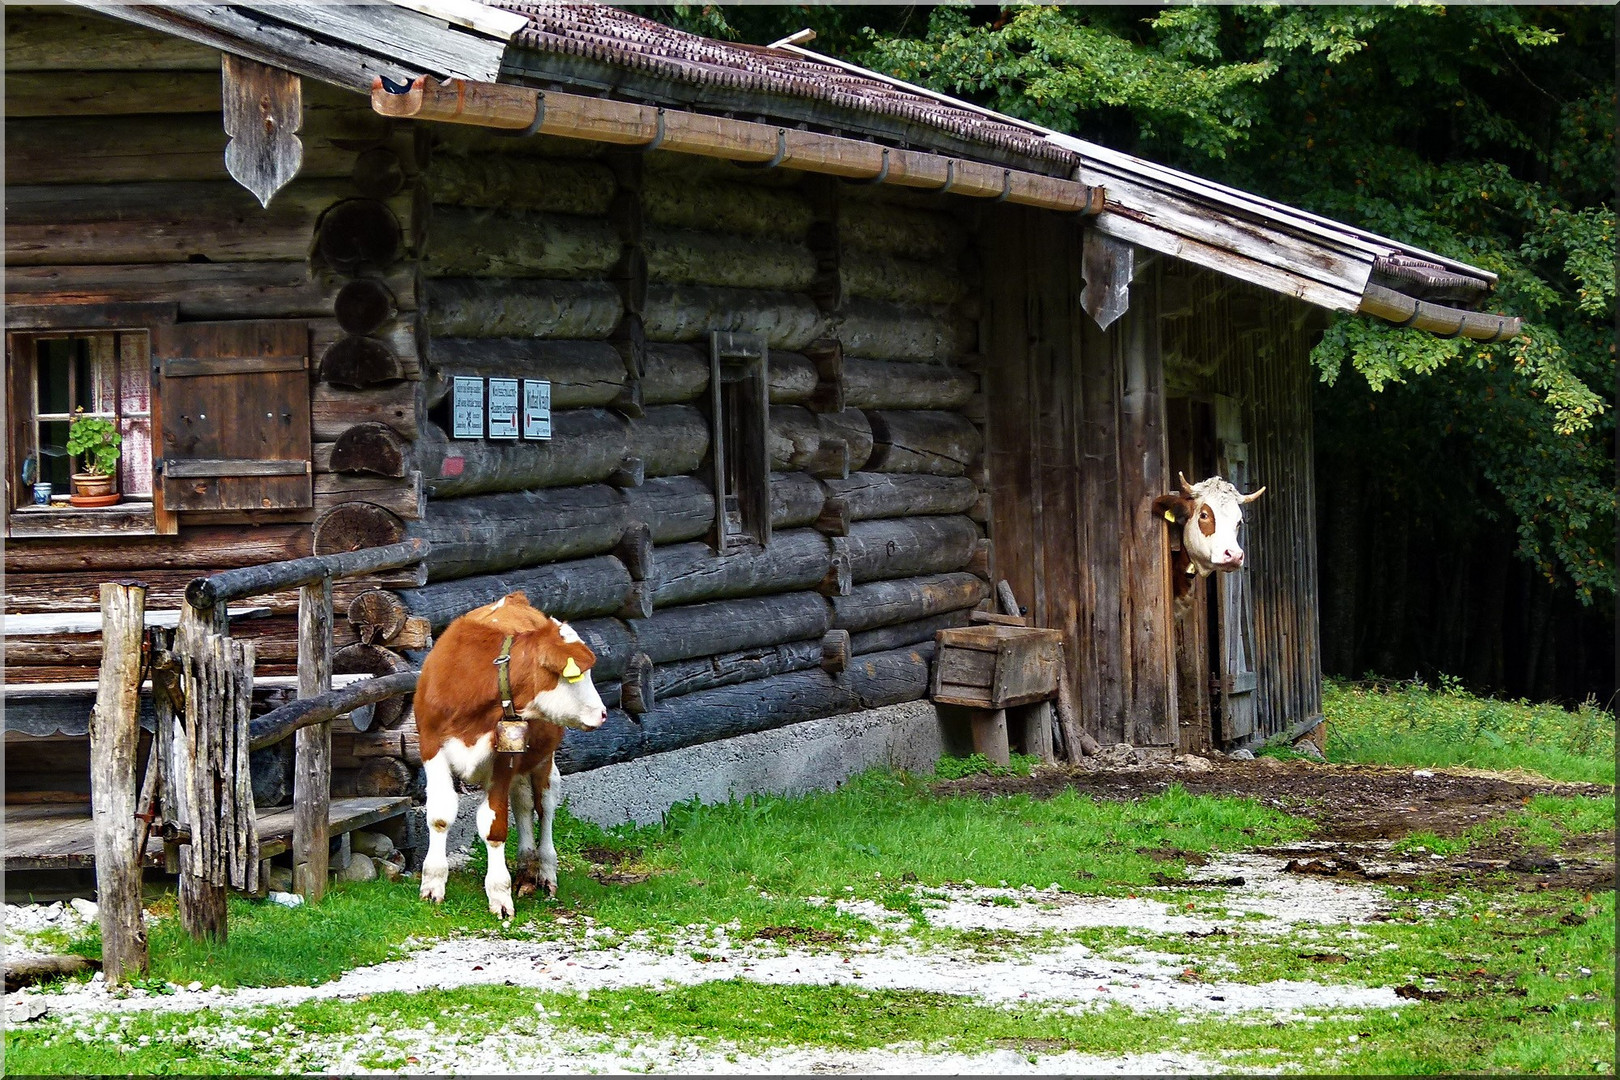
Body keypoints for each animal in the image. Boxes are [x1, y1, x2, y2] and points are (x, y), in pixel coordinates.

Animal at [411, 595, 609, 919]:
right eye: (577, 675)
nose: (603, 713)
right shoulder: (431, 748)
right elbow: (440, 817)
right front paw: (432, 885)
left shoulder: (502, 763)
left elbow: (495, 827)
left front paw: (499, 894)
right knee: (523, 804)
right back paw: (526, 871)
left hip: (543, 759)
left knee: (544, 806)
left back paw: (545, 872)